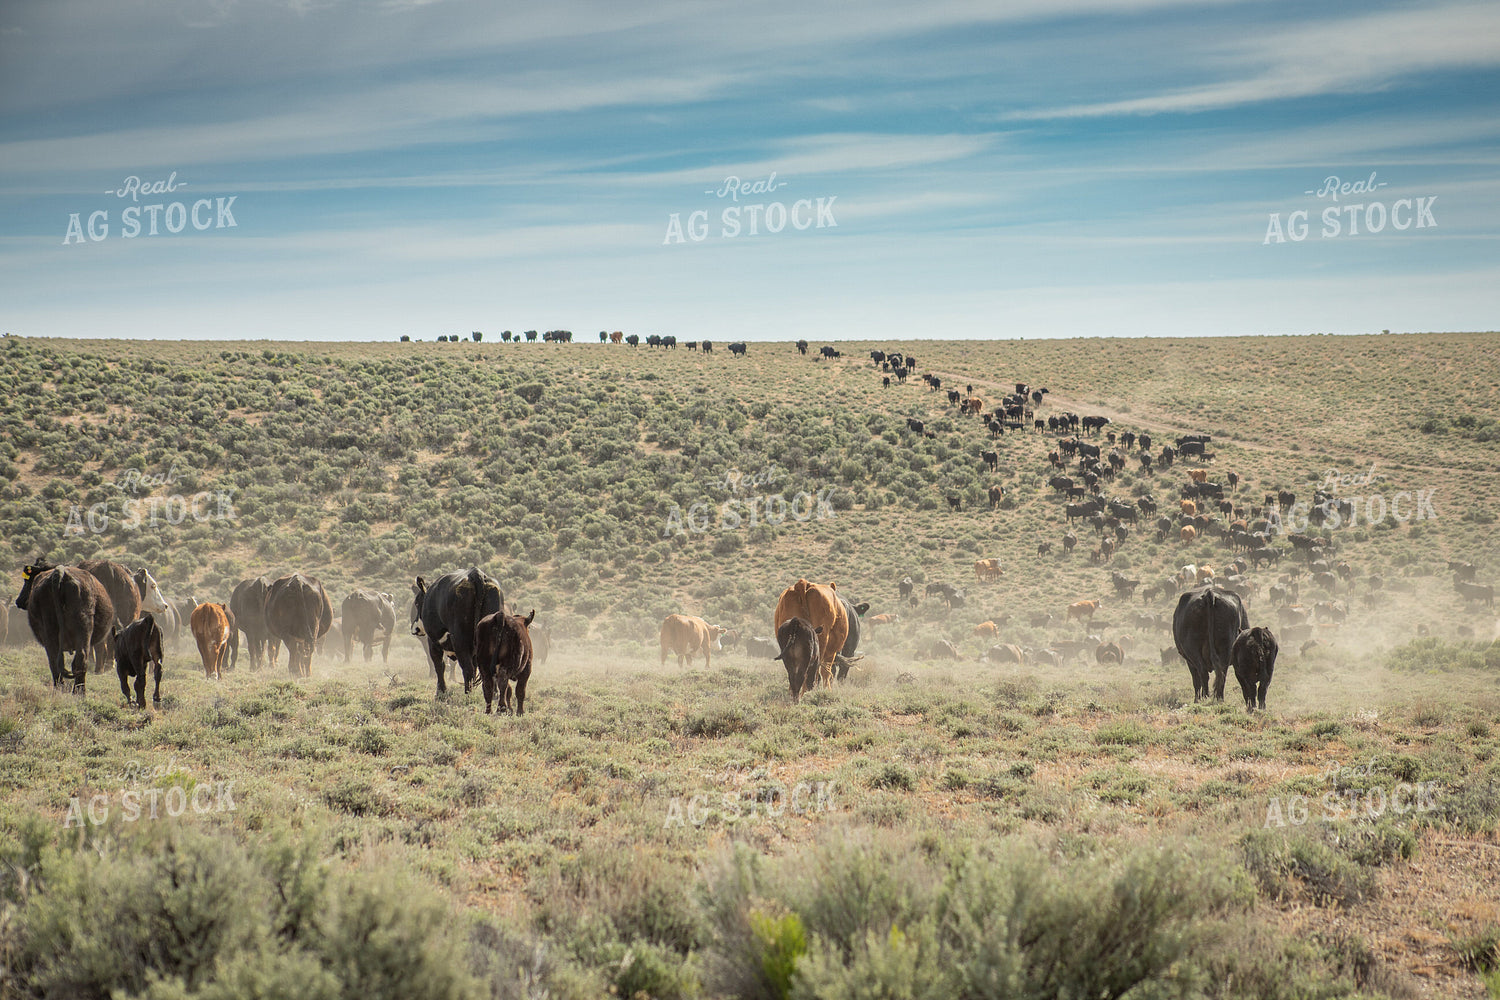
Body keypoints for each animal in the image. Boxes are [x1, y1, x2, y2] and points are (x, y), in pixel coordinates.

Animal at [13, 561, 114, 693]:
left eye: (27, 580)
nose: (18, 601)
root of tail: (60, 573)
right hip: (81, 629)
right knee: (76, 658)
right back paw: (78, 692)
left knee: (57, 660)